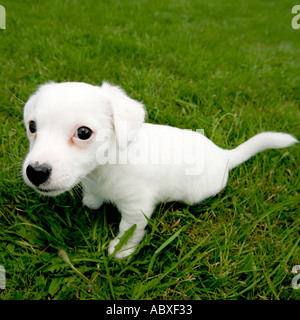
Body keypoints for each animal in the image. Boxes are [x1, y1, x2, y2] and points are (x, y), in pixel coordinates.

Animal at [22, 81, 298, 258]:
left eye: (83, 133)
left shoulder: (136, 208)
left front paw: (121, 251)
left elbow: (128, 231)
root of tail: (224, 155)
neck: (103, 169)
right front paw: (92, 202)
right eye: (32, 126)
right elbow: (94, 197)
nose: (35, 172)